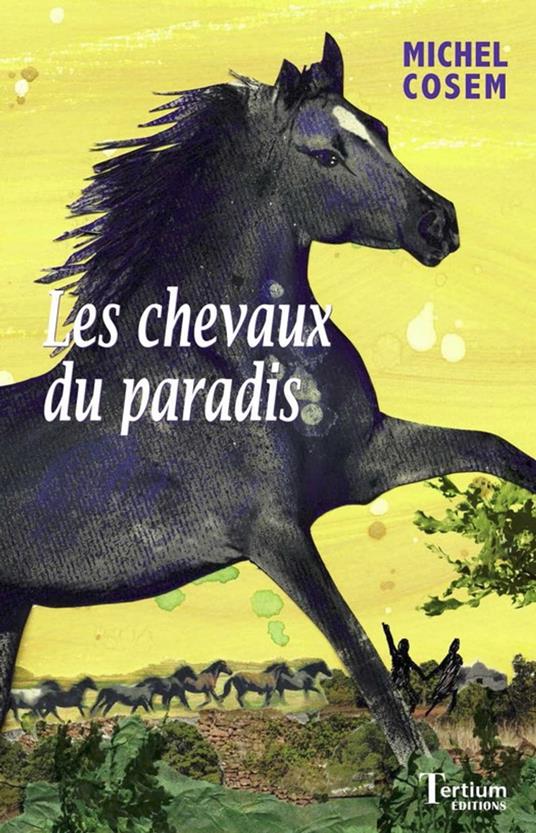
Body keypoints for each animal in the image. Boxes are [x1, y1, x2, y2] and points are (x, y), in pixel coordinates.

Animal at [1, 34, 535, 764]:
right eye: (325, 154)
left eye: (382, 130)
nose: (440, 224)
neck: (232, 364)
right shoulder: (274, 534)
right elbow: (364, 660)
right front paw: (423, 773)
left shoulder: (364, 465)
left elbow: (497, 448)